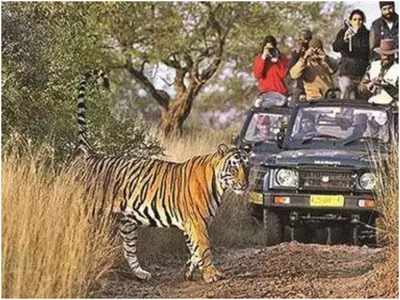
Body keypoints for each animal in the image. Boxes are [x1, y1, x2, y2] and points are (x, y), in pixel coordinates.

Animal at [71, 71, 247, 282]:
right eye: (234, 167)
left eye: (247, 166)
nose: (245, 184)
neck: (218, 185)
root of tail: (92, 155)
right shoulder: (196, 221)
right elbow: (204, 248)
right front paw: (211, 274)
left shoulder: (190, 223)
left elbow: (194, 250)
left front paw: (189, 271)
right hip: (91, 211)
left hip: (128, 222)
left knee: (129, 249)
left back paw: (141, 273)